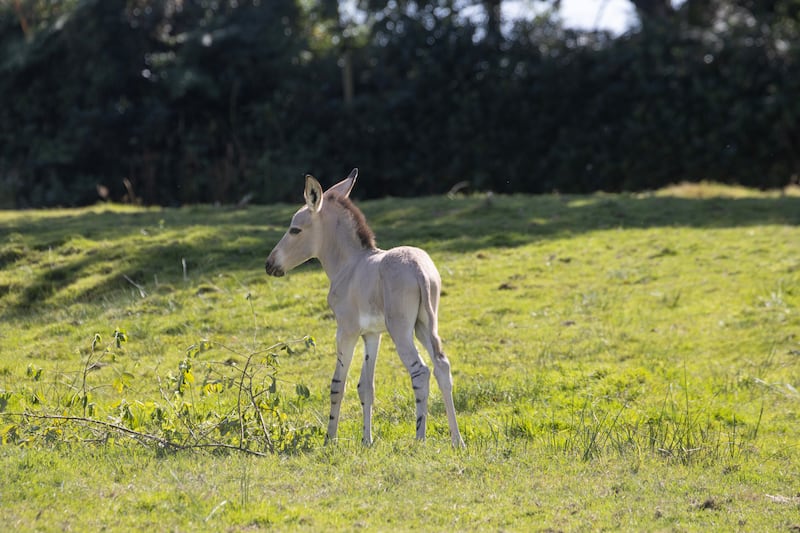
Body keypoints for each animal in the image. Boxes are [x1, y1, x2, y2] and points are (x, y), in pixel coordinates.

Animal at [264, 169, 462, 444]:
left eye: (294, 230)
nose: (269, 264)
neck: (350, 264)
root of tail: (418, 268)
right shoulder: (372, 334)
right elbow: (366, 387)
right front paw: (367, 441)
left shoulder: (346, 331)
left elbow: (338, 384)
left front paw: (330, 439)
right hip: (425, 326)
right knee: (442, 367)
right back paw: (457, 441)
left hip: (401, 330)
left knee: (420, 371)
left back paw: (419, 439)